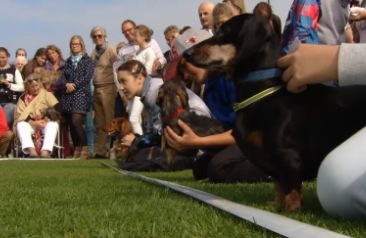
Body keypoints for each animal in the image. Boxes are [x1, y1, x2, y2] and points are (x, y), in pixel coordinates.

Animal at [184, 13, 366, 211]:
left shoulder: (287, 155)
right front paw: (276, 203)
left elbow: (290, 185)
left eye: (223, 31)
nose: (186, 54)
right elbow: (278, 183)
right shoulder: (272, 160)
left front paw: (290, 209)